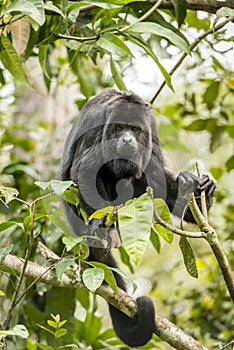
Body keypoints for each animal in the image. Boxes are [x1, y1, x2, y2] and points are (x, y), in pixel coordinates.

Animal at [60, 88, 216, 348]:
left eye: (134, 129)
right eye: (119, 128)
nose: (126, 139)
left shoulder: (151, 127)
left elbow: (155, 173)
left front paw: (199, 186)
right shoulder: (95, 122)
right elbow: (83, 169)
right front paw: (98, 224)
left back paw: (191, 189)